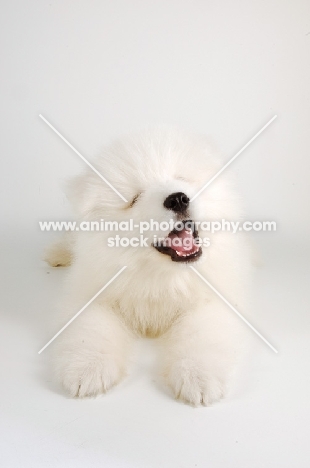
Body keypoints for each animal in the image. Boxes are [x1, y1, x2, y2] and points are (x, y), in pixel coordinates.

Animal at [45, 128, 249, 406]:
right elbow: (91, 326)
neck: (160, 276)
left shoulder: (215, 299)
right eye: (135, 198)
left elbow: (202, 332)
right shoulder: (93, 292)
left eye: (181, 178)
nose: (177, 199)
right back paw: (57, 253)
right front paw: (86, 368)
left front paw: (198, 376)